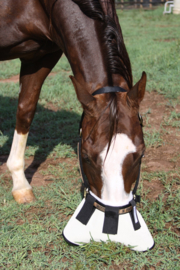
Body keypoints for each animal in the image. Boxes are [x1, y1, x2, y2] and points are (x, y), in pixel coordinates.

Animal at [0, 0, 154, 251]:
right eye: (87, 157)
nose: (111, 231)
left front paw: (20, 184)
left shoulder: (41, 56)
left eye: (140, 154)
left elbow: (26, 110)